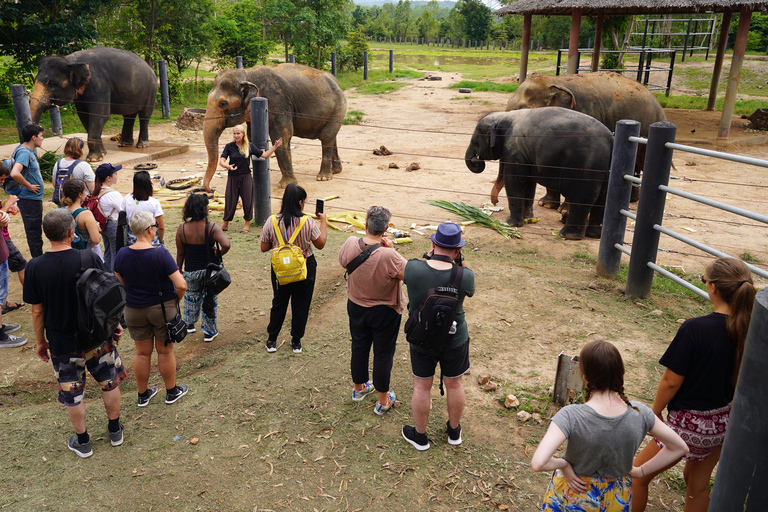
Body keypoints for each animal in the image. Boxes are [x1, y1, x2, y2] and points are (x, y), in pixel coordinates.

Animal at [29, 47, 158, 162]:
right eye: (34, 80)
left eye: (51, 83)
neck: (69, 60)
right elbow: (84, 116)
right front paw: (103, 154)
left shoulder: (99, 85)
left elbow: (100, 114)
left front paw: (94, 159)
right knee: (128, 115)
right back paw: (124, 144)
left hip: (151, 89)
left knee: (145, 115)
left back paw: (142, 145)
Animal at [204, 63, 348, 190]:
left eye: (223, 103)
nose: (210, 189)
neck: (247, 73)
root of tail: (336, 82)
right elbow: (251, 138)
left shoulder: (278, 103)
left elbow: (282, 135)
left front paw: (286, 185)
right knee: (331, 137)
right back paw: (335, 171)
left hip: (338, 109)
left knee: (326, 137)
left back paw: (323, 177)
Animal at [464, 108, 616, 240]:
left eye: (475, 142)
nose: (495, 202)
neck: (504, 116)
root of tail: (611, 141)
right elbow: (529, 183)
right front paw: (528, 218)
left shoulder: (514, 150)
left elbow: (514, 180)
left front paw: (511, 223)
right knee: (602, 200)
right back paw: (593, 235)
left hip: (584, 170)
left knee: (581, 199)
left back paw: (566, 235)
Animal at [504, 71, 664, 209]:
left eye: (524, 110)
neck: (556, 80)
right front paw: (546, 205)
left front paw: (564, 210)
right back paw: (631, 200)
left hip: (647, 129)